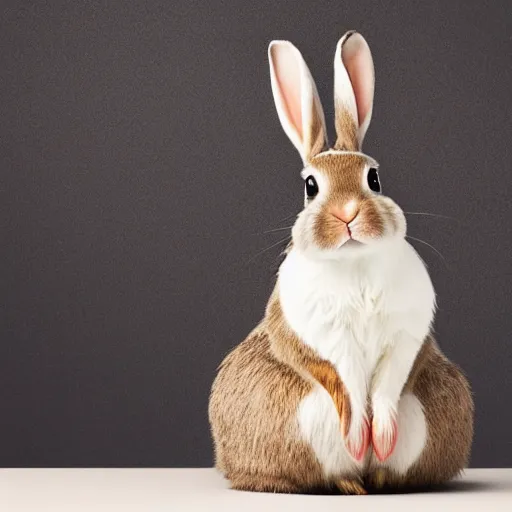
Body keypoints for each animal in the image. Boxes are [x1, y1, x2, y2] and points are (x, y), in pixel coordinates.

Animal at [208, 30, 472, 494]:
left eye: (374, 178)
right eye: (311, 186)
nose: (347, 213)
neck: (356, 263)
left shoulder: (404, 337)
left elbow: (386, 384)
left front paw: (380, 436)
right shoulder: (325, 337)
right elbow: (345, 377)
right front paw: (356, 436)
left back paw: (378, 475)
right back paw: (351, 480)